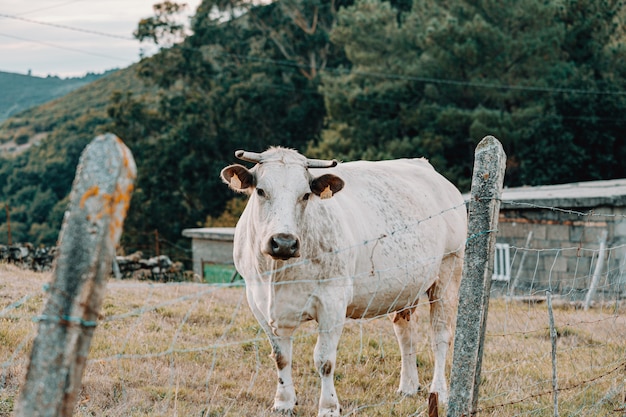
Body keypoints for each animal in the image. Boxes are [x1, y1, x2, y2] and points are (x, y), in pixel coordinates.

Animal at [219, 146, 464, 412]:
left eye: (306, 195)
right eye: (261, 191)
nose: (283, 242)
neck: (278, 274)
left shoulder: (332, 302)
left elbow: (324, 360)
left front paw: (328, 407)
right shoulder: (260, 302)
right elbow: (281, 357)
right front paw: (283, 402)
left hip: (448, 273)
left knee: (440, 335)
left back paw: (439, 391)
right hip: (406, 287)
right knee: (405, 333)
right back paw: (408, 387)